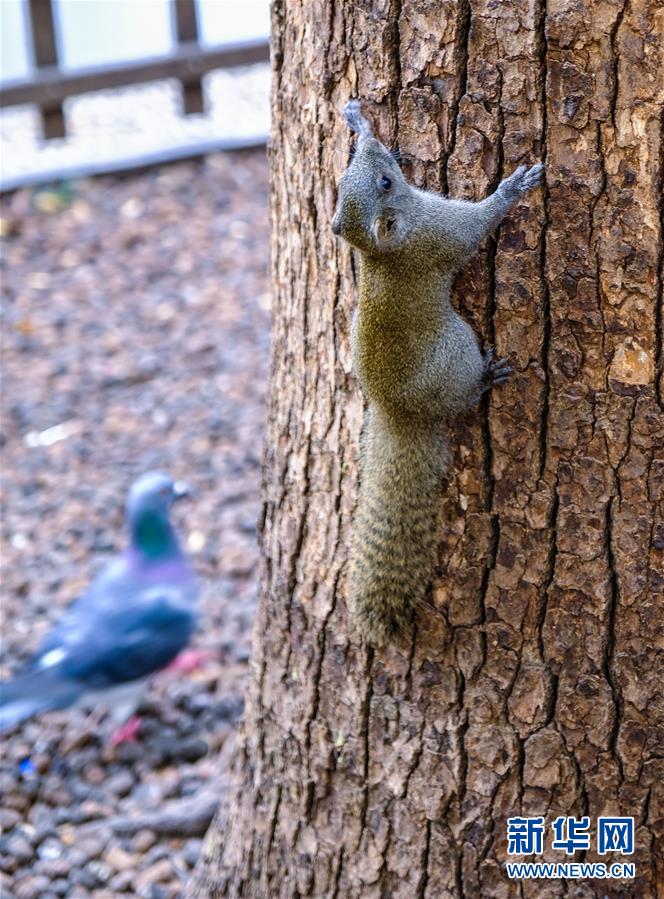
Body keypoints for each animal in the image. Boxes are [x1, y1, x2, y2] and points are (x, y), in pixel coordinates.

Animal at [332, 100, 544, 648]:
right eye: (387, 182)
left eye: (350, 182)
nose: (381, 149)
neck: (381, 251)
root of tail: (400, 413)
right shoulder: (441, 233)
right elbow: (476, 226)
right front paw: (513, 189)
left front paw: (359, 121)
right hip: (456, 350)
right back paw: (486, 377)